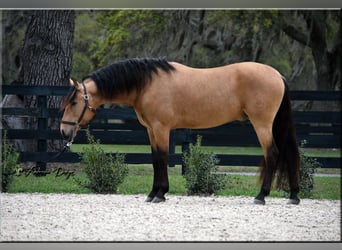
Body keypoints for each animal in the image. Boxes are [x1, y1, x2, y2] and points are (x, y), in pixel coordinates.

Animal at [60, 58, 300, 205]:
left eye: (73, 102)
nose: (63, 131)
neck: (147, 84)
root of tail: (278, 75)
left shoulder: (162, 128)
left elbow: (163, 158)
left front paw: (160, 193)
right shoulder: (151, 130)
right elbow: (155, 159)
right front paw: (153, 193)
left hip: (262, 125)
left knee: (272, 154)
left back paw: (261, 196)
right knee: (287, 153)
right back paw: (294, 195)